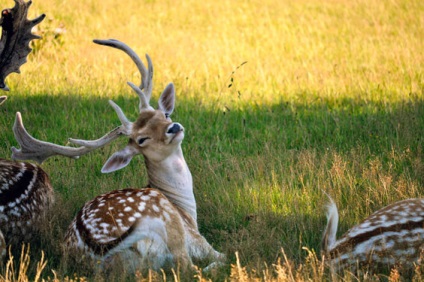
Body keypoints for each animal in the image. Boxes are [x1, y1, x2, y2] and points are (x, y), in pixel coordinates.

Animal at [10, 39, 225, 274]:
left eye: (165, 114)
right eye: (141, 139)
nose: (174, 128)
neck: (184, 207)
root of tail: (99, 246)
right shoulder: (197, 240)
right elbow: (221, 255)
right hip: (170, 226)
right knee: (192, 267)